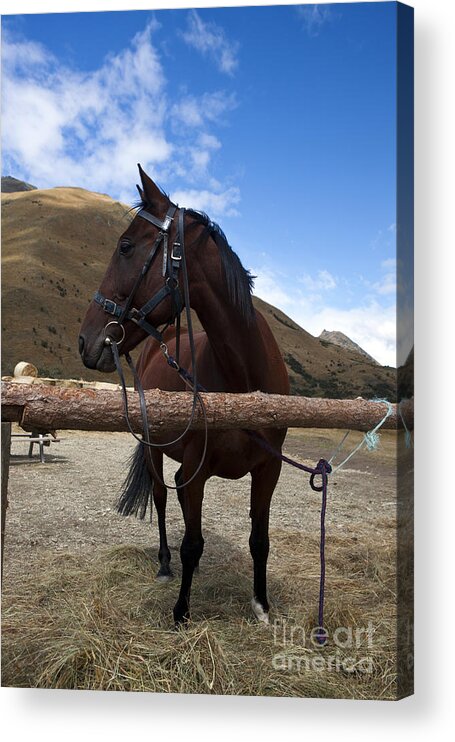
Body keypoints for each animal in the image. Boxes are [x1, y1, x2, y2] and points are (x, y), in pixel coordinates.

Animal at [79, 166, 290, 624]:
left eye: (125, 246)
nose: (85, 340)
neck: (241, 381)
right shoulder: (194, 471)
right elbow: (192, 544)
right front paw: (181, 611)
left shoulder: (269, 470)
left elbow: (260, 539)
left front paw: (261, 604)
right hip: (156, 452)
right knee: (160, 499)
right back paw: (164, 563)